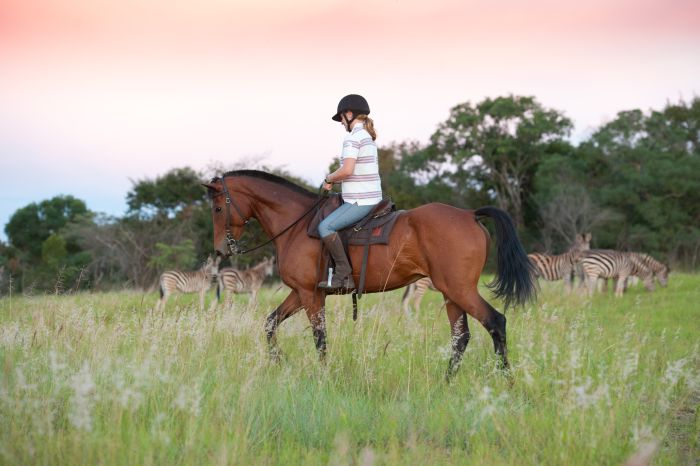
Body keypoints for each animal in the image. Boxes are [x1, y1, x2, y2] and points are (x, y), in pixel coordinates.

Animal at [202, 171, 536, 378]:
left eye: (217, 209)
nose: (220, 249)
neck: (297, 225)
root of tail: (469, 214)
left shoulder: (310, 295)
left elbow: (320, 338)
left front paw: (323, 376)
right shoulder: (301, 293)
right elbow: (270, 324)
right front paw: (279, 361)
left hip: (460, 290)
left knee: (496, 322)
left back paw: (506, 381)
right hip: (451, 293)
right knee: (461, 336)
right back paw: (447, 382)